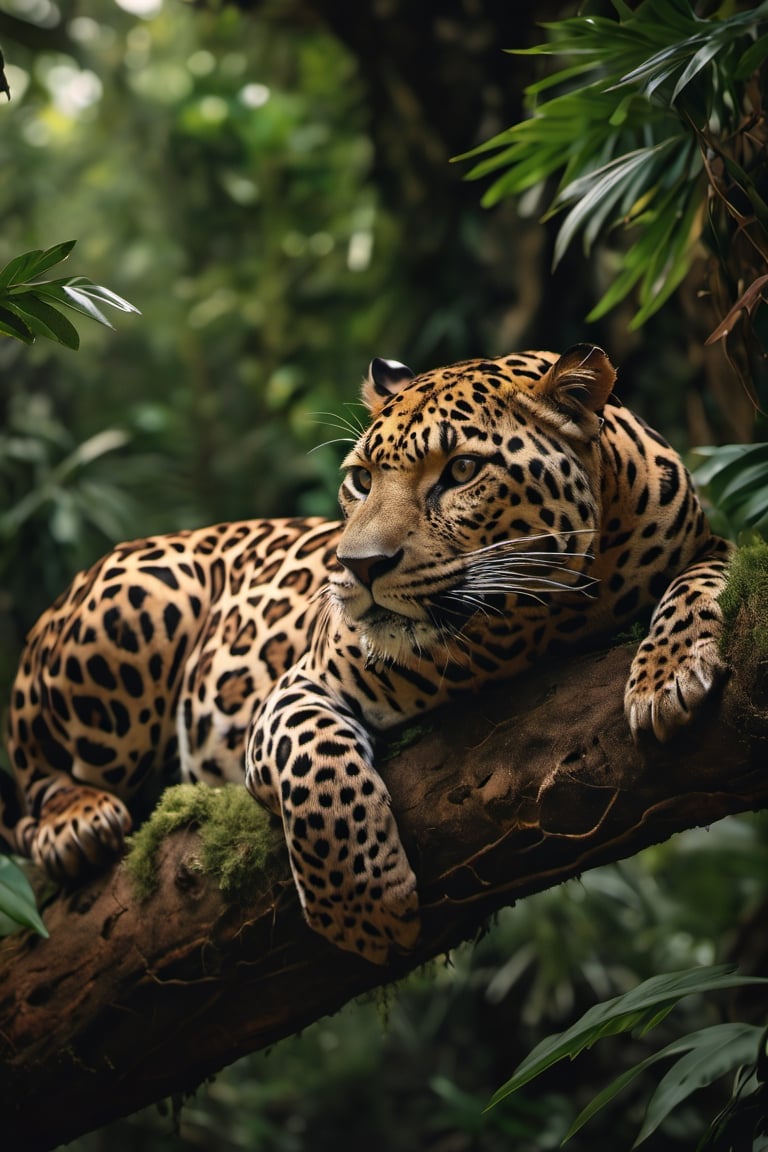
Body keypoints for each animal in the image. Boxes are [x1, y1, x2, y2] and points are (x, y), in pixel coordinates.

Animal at [0, 340, 732, 963]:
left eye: (462, 470)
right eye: (359, 479)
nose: (357, 567)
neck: (532, 624)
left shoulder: (706, 544)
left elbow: (703, 587)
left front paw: (665, 679)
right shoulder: (300, 685)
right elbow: (313, 765)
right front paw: (363, 909)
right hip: (137, 604)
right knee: (33, 792)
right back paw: (78, 821)